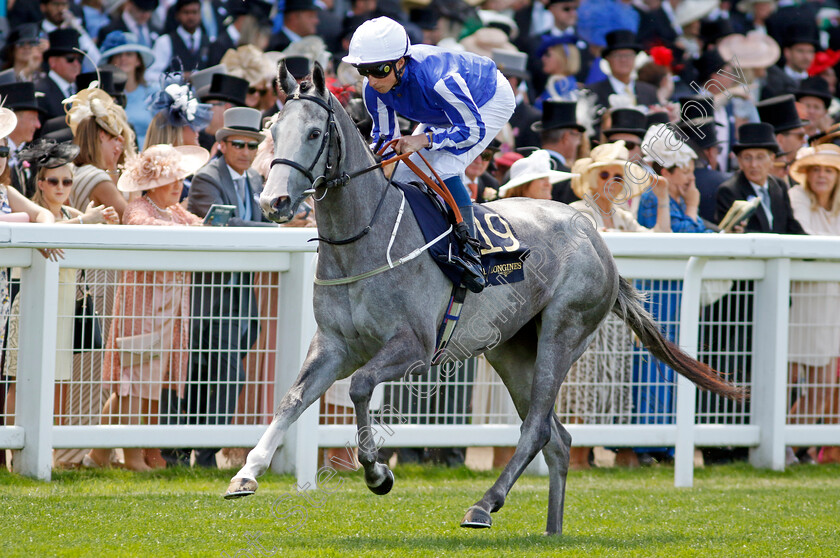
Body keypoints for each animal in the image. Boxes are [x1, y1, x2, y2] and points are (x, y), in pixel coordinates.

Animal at [223, 62, 740, 540]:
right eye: (271, 130)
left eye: (314, 133)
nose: (273, 202)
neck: (362, 240)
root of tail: (594, 235)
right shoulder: (333, 344)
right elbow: (292, 398)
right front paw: (247, 473)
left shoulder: (412, 347)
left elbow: (360, 387)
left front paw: (377, 473)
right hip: (510, 349)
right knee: (558, 437)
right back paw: (552, 530)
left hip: (563, 331)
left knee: (536, 429)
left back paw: (484, 505)